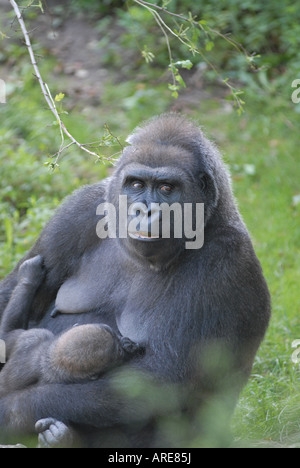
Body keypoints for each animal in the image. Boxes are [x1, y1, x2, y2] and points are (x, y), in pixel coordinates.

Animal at [0, 256, 141, 398]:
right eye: (119, 353)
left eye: (112, 331)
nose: (124, 341)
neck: (47, 356)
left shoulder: (34, 336)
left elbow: (4, 337)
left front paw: (28, 278)